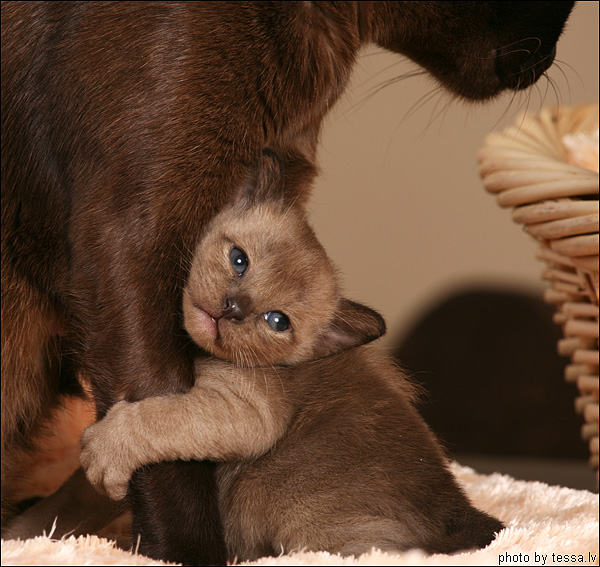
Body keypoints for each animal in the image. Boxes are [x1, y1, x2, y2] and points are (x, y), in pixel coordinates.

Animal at [78, 152, 502, 564]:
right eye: (239, 260)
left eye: (277, 321)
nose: (232, 309)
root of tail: (463, 509)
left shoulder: (244, 411)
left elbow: (158, 419)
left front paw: (101, 454)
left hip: (306, 521)